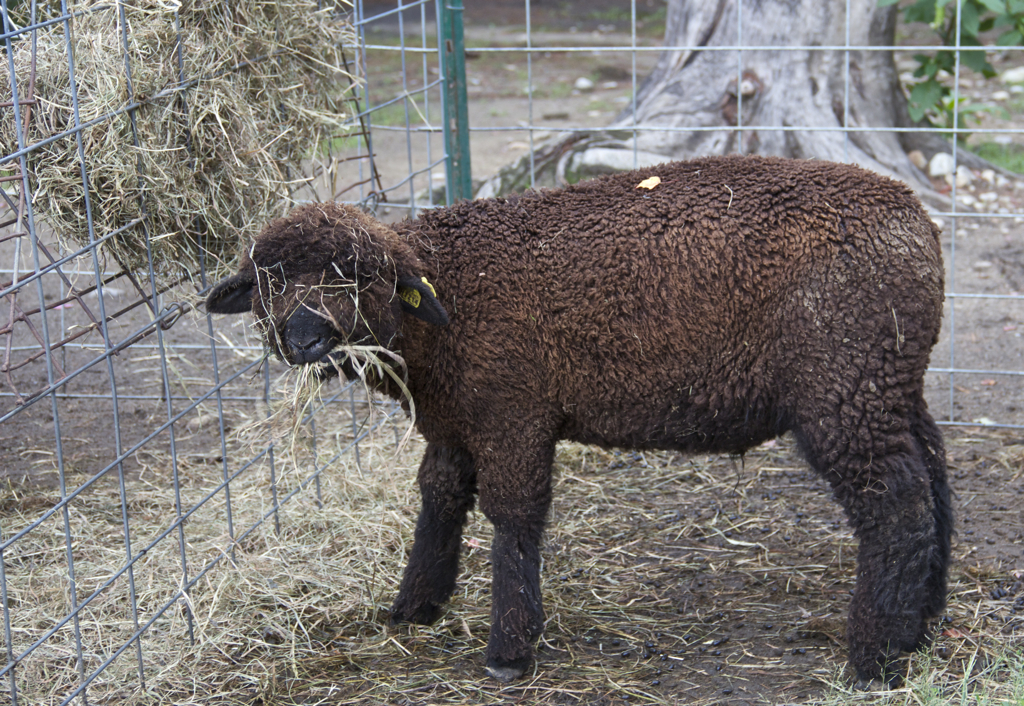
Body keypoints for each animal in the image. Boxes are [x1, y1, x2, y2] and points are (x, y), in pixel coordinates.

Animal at [207, 153, 950, 684]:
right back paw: (923, 622)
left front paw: (508, 649)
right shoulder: (455, 422)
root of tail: (918, 225)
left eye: (359, 275)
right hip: (890, 381)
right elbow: (439, 499)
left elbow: (513, 516)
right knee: (935, 479)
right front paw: (415, 607)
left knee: (897, 502)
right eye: (271, 279)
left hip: (843, 384)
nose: (307, 339)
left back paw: (875, 658)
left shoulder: (512, 410)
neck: (447, 305)